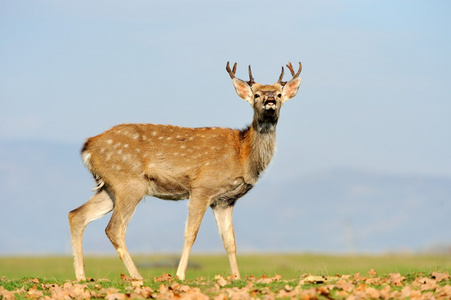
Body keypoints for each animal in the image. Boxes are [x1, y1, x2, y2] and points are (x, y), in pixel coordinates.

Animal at [69, 61, 304, 282]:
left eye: (279, 94)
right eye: (256, 94)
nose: (270, 99)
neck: (242, 154)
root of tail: (88, 147)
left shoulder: (225, 200)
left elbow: (230, 241)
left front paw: (236, 277)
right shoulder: (202, 187)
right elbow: (190, 234)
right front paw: (180, 274)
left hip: (110, 187)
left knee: (76, 215)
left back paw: (81, 276)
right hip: (129, 183)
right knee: (114, 228)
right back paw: (137, 276)